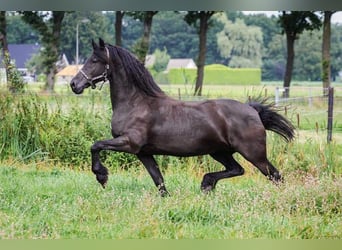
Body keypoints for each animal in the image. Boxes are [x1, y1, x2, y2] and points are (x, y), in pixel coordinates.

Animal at [69, 38, 294, 196]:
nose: (74, 84)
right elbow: (159, 181)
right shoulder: (143, 153)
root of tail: (253, 110)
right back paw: (207, 183)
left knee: (275, 176)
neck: (136, 103)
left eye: (95, 60)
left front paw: (101, 176)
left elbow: (96, 145)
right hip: (219, 152)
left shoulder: (129, 143)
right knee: (237, 169)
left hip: (254, 154)